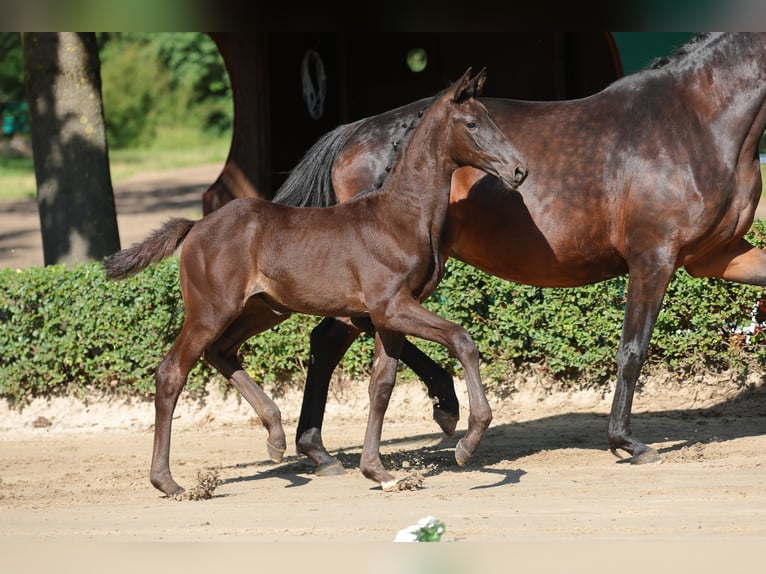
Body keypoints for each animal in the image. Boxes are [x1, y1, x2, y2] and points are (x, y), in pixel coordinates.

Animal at [102, 68, 529, 495]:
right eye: (471, 123)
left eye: (491, 119)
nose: (519, 170)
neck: (400, 216)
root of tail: (195, 226)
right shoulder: (392, 306)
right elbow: (462, 339)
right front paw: (467, 443)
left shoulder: (388, 317)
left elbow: (382, 385)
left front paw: (379, 472)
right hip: (211, 311)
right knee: (171, 372)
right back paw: (168, 482)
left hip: (264, 310)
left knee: (222, 352)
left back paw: (275, 436)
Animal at [266, 32, 766, 474]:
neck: (694, 121)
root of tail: (354, 132)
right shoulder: (654, 257)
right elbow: (632, 350)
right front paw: (627, 443)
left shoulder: (717, 254)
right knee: (355, 330)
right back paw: (439, 409)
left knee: (332, 338)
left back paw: (321, 450)